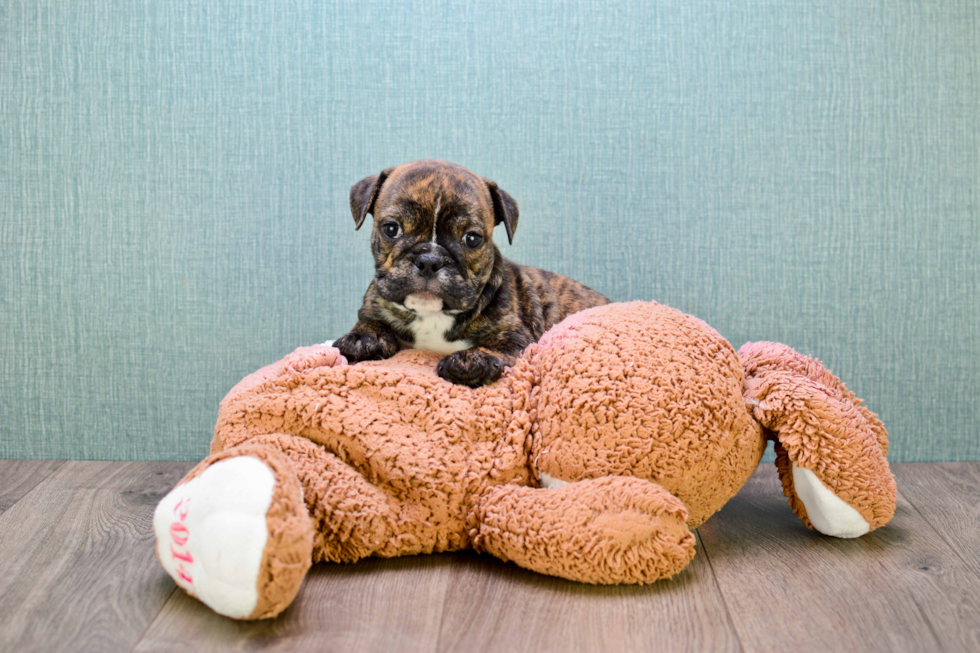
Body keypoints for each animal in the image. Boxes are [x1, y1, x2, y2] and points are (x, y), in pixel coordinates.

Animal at [340, 160, 608, 384]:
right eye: (391, 228)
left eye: (472, 239)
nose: (429, 260)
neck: (431, 315)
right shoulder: (373, 306)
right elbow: (369, 321)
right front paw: (363, 338)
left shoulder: (516, 334)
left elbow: (498, 346)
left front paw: (471, 360)